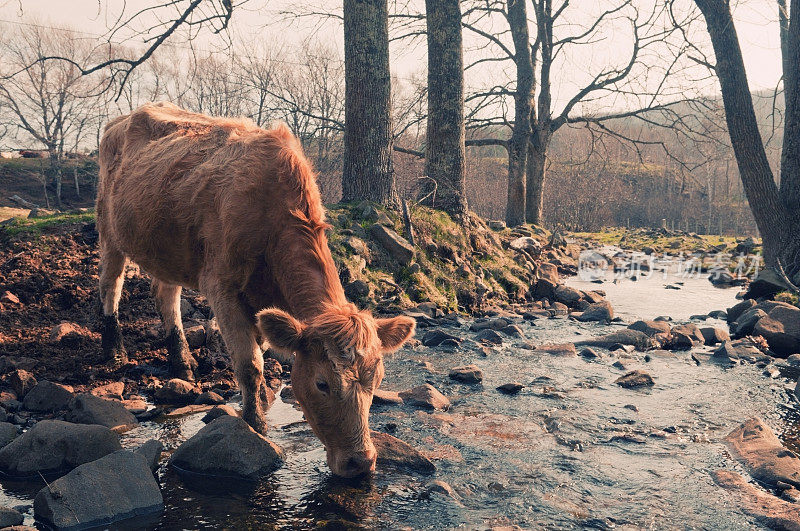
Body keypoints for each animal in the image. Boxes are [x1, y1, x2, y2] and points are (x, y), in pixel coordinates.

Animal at [97, 103, 416, 478]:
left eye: (376, 380)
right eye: (322, 383)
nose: (361, 462)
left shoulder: (263, 303)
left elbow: (261, 350)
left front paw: (262, 401)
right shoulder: (221, 286)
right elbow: (249, 363)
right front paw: (255, 423)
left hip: (168, 250)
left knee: (166, 294)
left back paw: (182, 361)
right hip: (109, 229)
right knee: (110, 284)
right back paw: (115, 349)